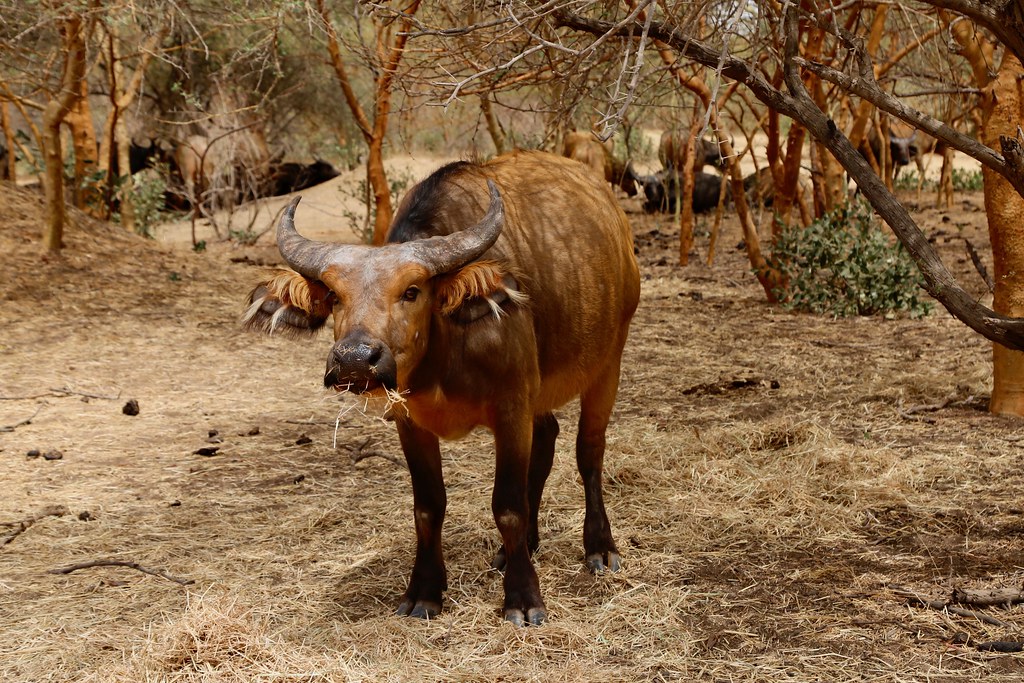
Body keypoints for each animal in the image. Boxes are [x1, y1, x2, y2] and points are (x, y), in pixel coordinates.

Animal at [240, 152, 638, 626]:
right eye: (334, 296)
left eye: (412, 291)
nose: (355, 359)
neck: (444, 357)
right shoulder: (411, 423)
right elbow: (428, 507)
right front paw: (425, 591)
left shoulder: (511, 409)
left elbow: (508, 506)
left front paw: (523, 597)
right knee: (547, 441)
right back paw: (522, 547)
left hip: (608, 363)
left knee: (588, 451)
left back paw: (599, 547)